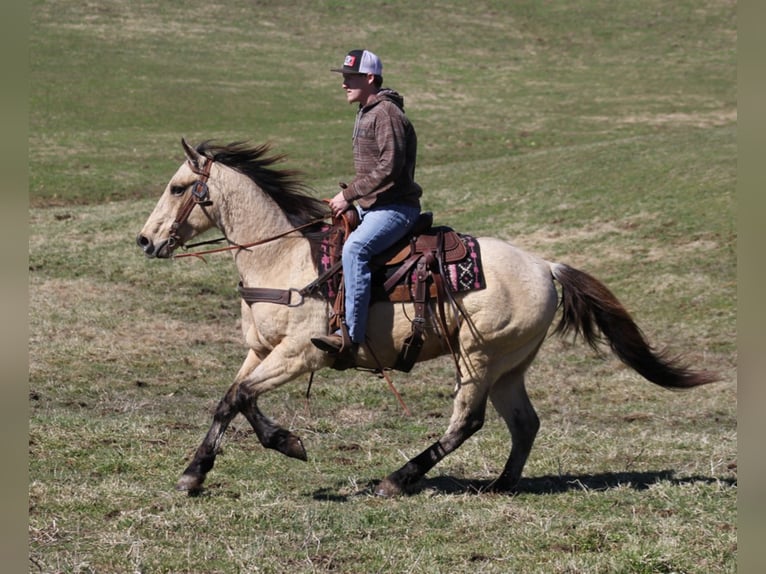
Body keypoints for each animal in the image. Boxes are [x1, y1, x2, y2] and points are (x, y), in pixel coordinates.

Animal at [138, 140, 720, 500]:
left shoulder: (300, 353)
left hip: (477, 357)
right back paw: (500, 485)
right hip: (509, 366)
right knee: (524, 423)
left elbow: (238, 397)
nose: (145, 240)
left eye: (176, 187)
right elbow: (235, 398)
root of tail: (547, 267)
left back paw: (397, 480)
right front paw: (233, 460)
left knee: (468, 421)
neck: (283, 259)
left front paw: (211, 469)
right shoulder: (262, 350)